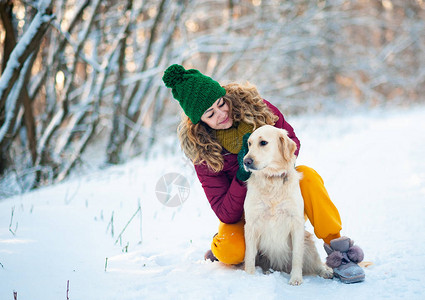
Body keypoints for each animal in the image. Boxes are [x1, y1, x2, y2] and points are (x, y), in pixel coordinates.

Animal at [242, 125, 332, 284]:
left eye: (263, 143)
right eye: (249, 144)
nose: (246, 161)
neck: (272, 179)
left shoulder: (296, 222)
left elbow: (297, 256)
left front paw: (296, 279)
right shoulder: (251, 224)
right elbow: (250, 256)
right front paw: (249, 277)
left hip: (308, 244)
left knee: (317, 263)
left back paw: (326, 271)